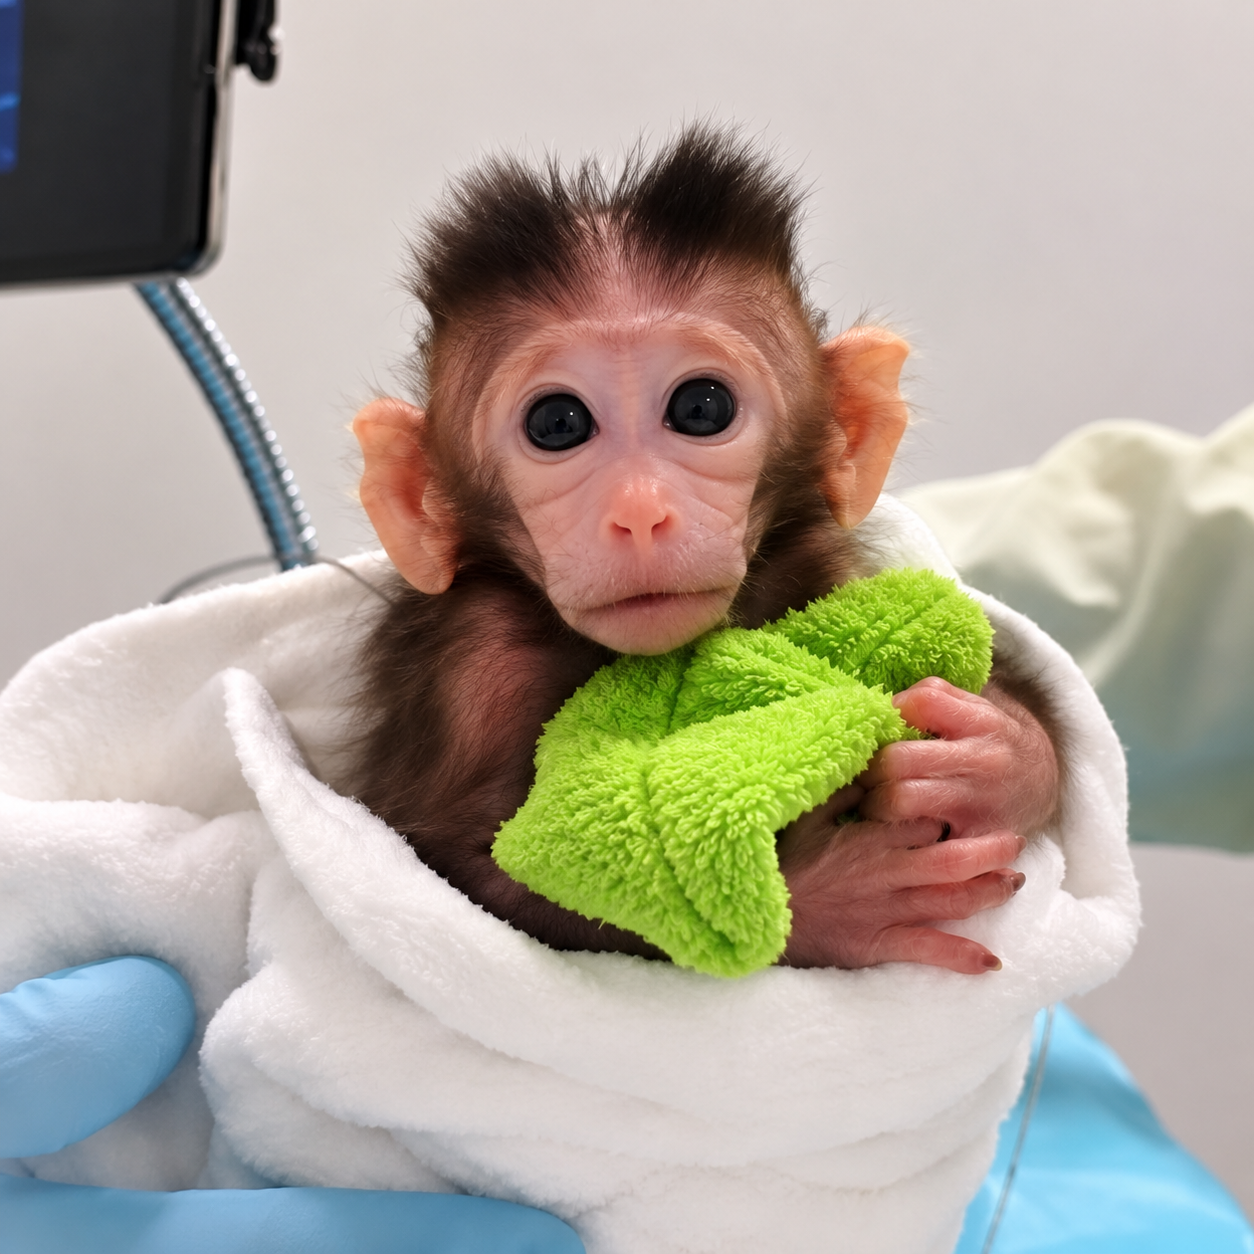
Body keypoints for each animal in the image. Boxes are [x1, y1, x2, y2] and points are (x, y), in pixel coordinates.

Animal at [348, 126, 1059, 978]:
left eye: (700, 407)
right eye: (557, 423)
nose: (639, 513)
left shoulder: (825, 570)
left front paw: (999, 759)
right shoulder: (474, 664)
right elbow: (466, 875)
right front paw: (833, 902)